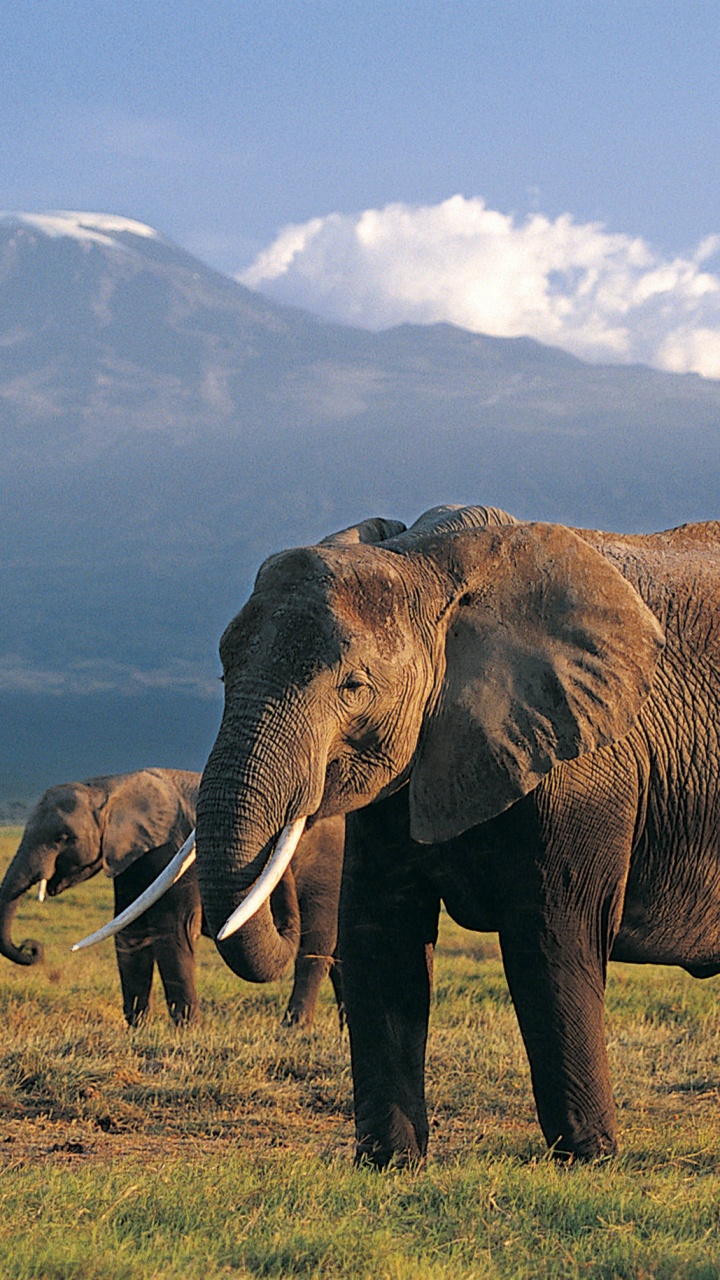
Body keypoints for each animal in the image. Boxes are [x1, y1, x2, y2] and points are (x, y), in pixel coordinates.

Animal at [0, 768, 345, 1029]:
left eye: (62, 838)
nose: (32, 948)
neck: (109, 787)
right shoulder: (133, 859)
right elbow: (131, 932)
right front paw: (137, 1028)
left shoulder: (173, 852)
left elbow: (173, 930)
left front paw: (187, 1029)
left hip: (328, 871)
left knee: (315, 946)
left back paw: (294, 1028)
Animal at [186, 502, 720, 1165]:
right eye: (224, 670)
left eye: (354, 686)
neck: (431, 564)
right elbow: (382, 935)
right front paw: (388, 1162)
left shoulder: (586, 765)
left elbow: (553, 937)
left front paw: (588, 1156)